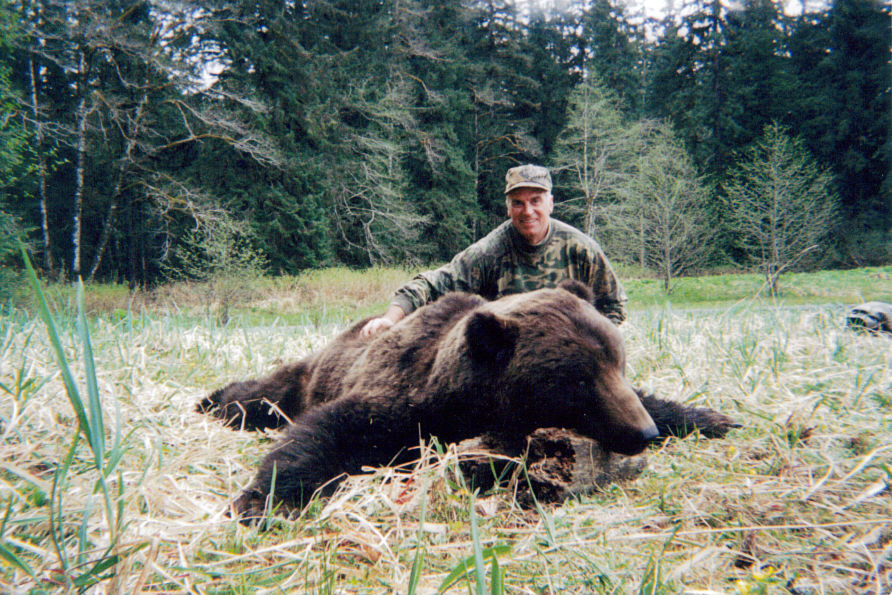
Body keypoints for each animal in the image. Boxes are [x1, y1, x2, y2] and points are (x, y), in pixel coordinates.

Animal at [198, 281, 738, 520]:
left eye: (618, 364)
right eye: (580, 382)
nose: (642, 432)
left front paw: (712, 417)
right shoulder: (400, 406)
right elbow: (328, 431)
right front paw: (261, 499)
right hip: (309, 374)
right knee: (266, 394)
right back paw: (212, 400)